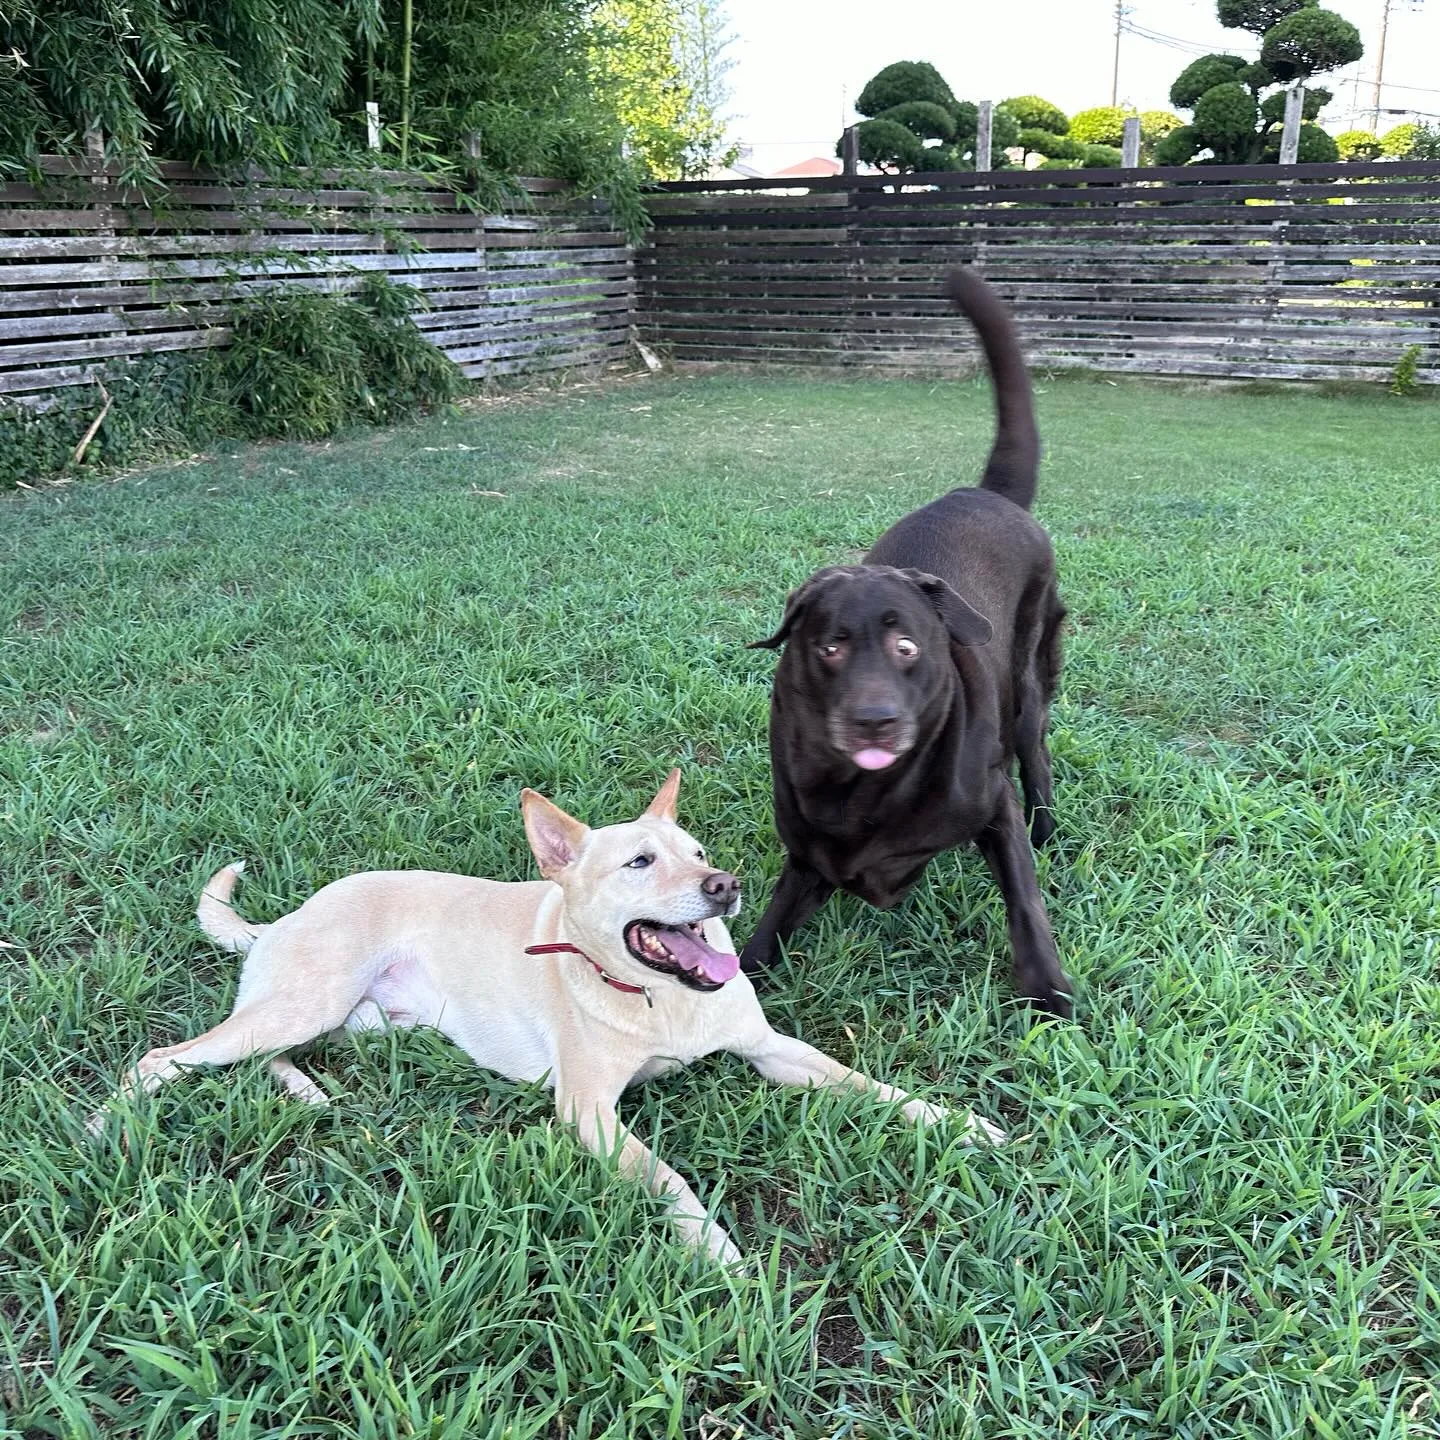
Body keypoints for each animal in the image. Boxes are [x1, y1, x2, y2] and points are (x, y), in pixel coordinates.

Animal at [81, 766, 1002, 1261]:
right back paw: (103, 1126)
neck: (661, 1000)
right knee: (167, 1058)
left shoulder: (771, 1048)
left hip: (357, 1018)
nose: (726, 885)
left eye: (698, 851)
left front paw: (962, 1122)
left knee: (270, 1053)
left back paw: (307, 1091)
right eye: (640, 862)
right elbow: (670, 1178)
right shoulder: (588, 1111)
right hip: (309, 997)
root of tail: (282, 919)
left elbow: (866, 1084)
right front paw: (715, 1248)